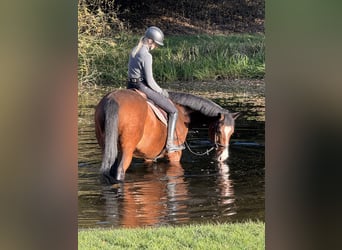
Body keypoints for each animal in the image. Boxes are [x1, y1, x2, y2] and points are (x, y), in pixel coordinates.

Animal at [93, 89, 238, 184]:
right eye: (219, 130)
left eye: (231, 133)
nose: (223, 156)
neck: (182, 112)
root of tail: (112, 99)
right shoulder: (175, 155)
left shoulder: (148, 156)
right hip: (126, 151)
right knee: (120, 171)